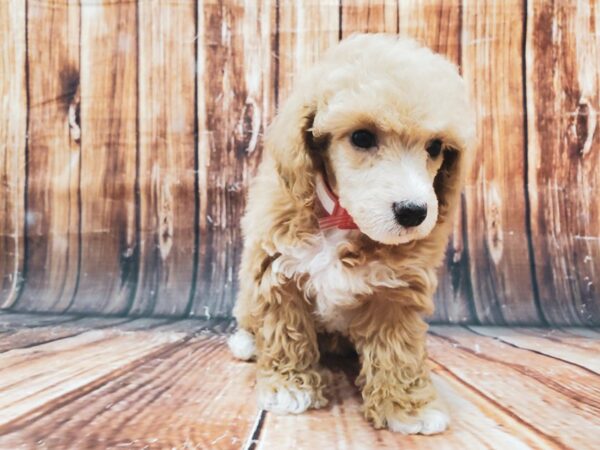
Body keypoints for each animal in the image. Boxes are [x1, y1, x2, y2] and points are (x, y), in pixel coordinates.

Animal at [229, 35, 474, 436]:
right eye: (362, 137)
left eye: (436, 147)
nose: (414, 212)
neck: (342, 219)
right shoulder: (278, 270)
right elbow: (285, 332)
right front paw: (289, 385)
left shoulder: (396, 289)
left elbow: (397, 349)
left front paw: (407, 407)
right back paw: (246, 342)